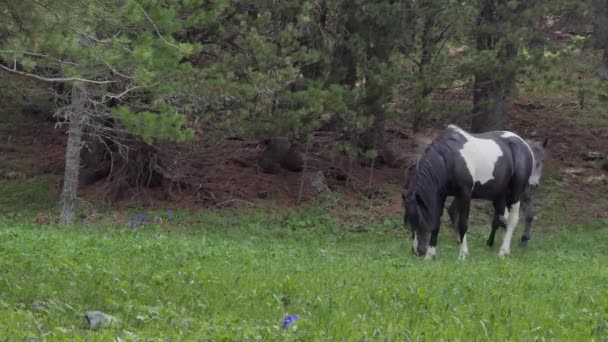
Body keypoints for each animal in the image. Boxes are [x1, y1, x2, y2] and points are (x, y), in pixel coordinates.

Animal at [402, 124, 548, 260]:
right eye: (410, 221)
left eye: (420, 219)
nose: (418, 251)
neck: (450, 159)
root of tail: (524, 144)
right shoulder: (441, 195)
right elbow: (436, 223)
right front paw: (430, 255)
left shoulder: (465, 194)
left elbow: (463, 224)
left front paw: (463, 254)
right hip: (499, 195)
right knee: (500, 218)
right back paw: (491, 244)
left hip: (516, 194)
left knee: (512, 220)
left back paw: (503, 251)